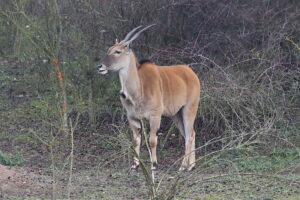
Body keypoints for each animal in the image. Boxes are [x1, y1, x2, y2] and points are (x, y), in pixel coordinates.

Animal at [96, 23, 200, 170]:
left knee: (189, 136)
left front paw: (154, 164)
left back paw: (182, 167)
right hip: (176, 114)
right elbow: (136, 141)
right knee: (190, 134)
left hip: (189, 110)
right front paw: (135, 165)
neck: (139, 88)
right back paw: (191, 165)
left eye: (117, 51)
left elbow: (152, 141)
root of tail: (190, 72)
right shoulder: (132, 118)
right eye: (109, 49)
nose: (100, 66)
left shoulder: (155, 116)